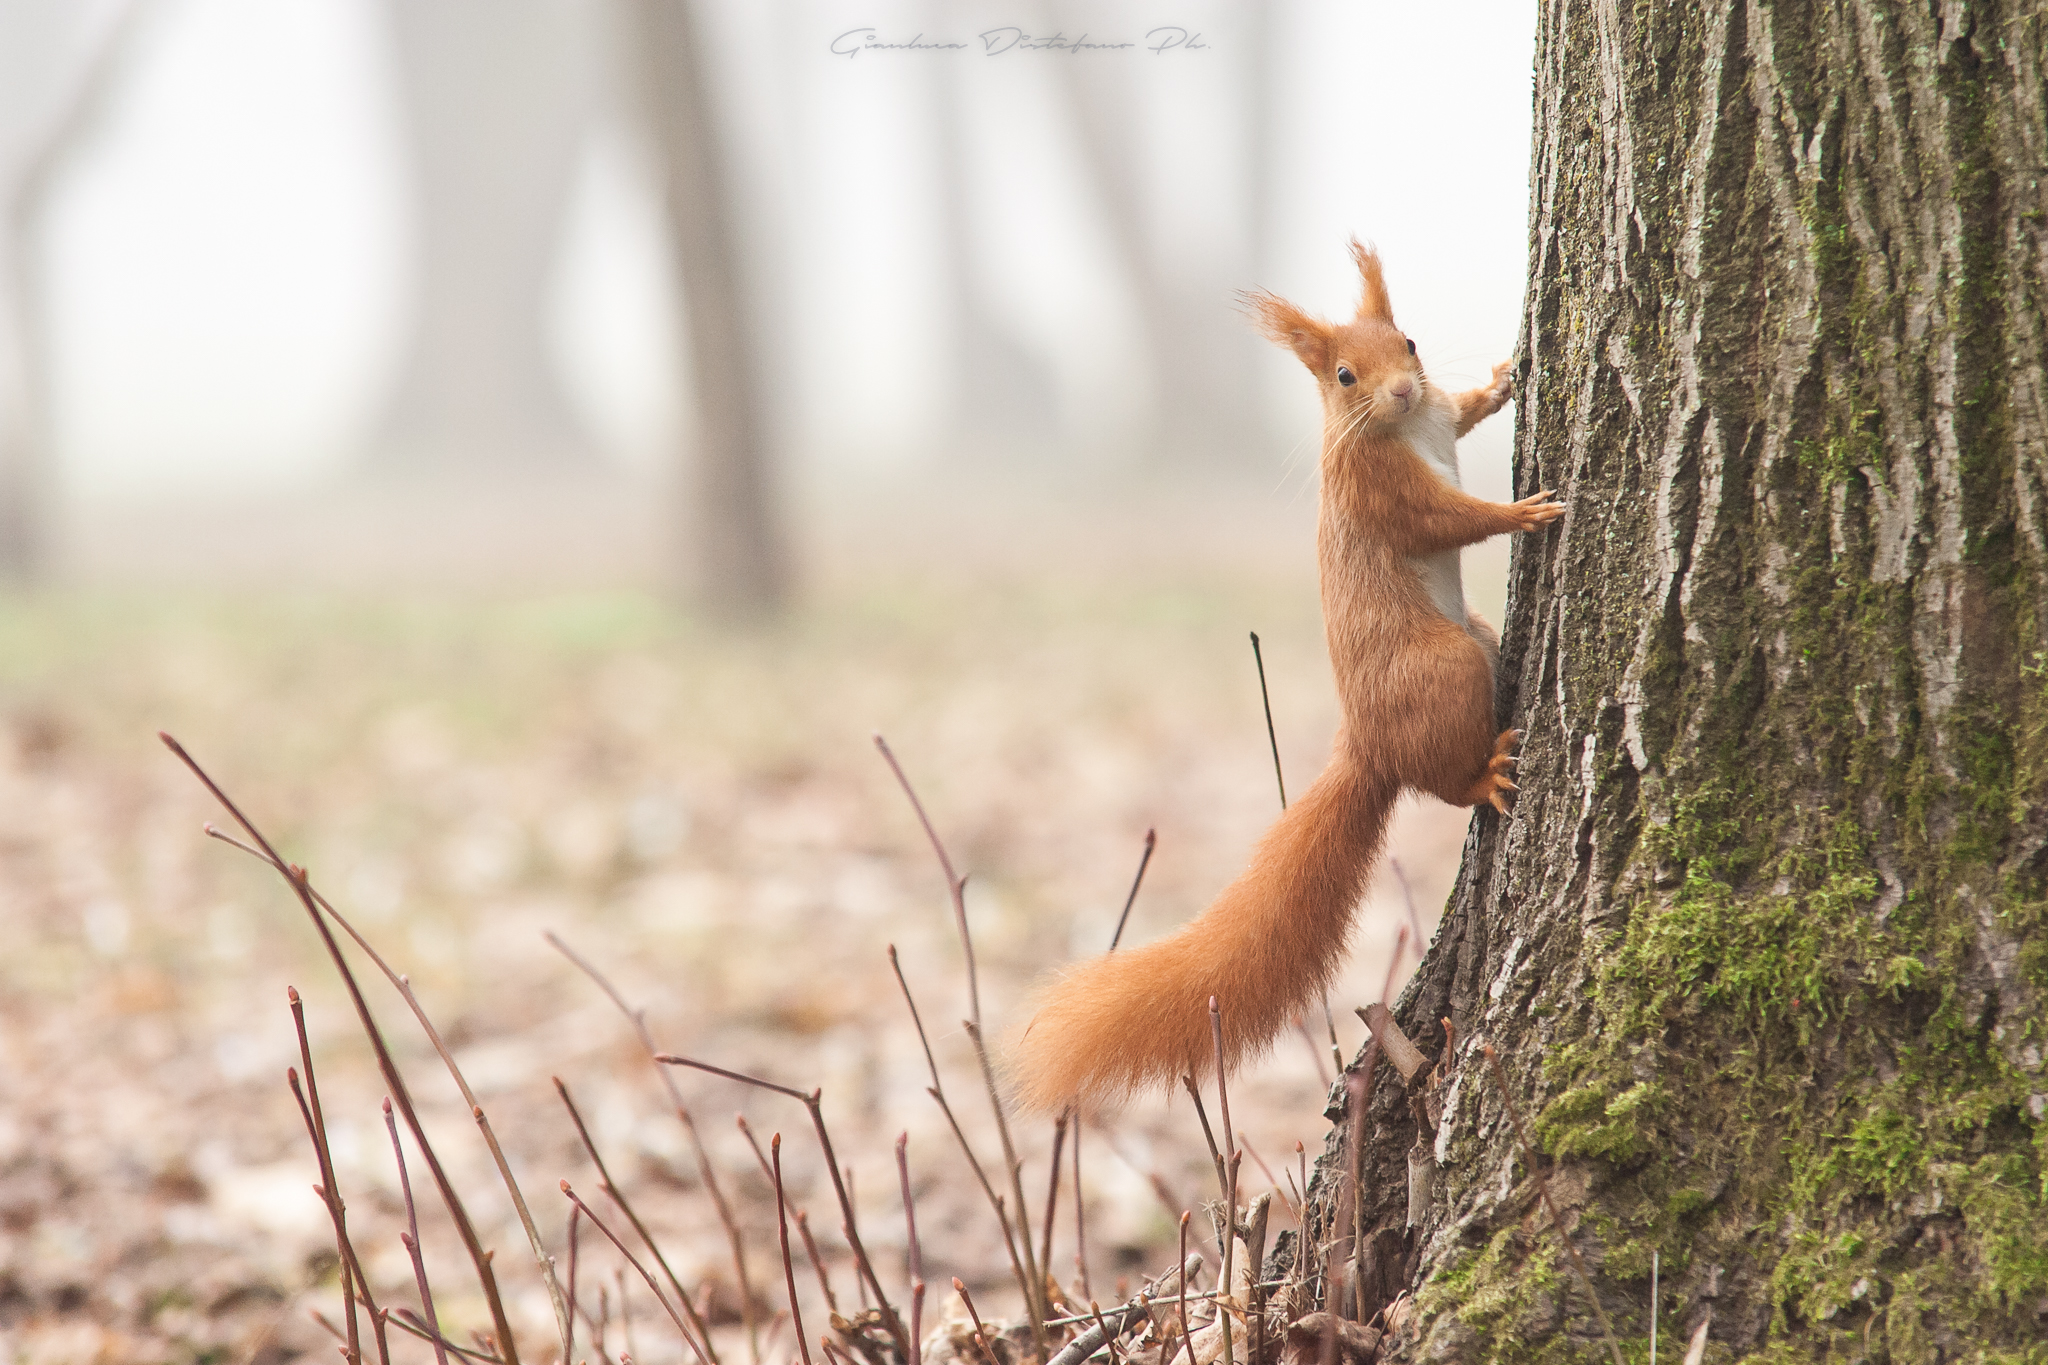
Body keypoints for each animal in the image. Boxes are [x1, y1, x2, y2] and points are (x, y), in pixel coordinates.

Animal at [1007, 242, 1563, 1113]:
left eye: (1408, 342)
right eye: (1343, 375)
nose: (1401, 389)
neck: (1406, 425)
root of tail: (1366, 746)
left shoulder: (1439, 412)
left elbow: (1465, 410)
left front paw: (1502, 380)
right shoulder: (1382, 489)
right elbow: (1448, 519)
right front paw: (1522, 515)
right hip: (1444, 671)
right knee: (1444, 780)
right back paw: (1486, 775)